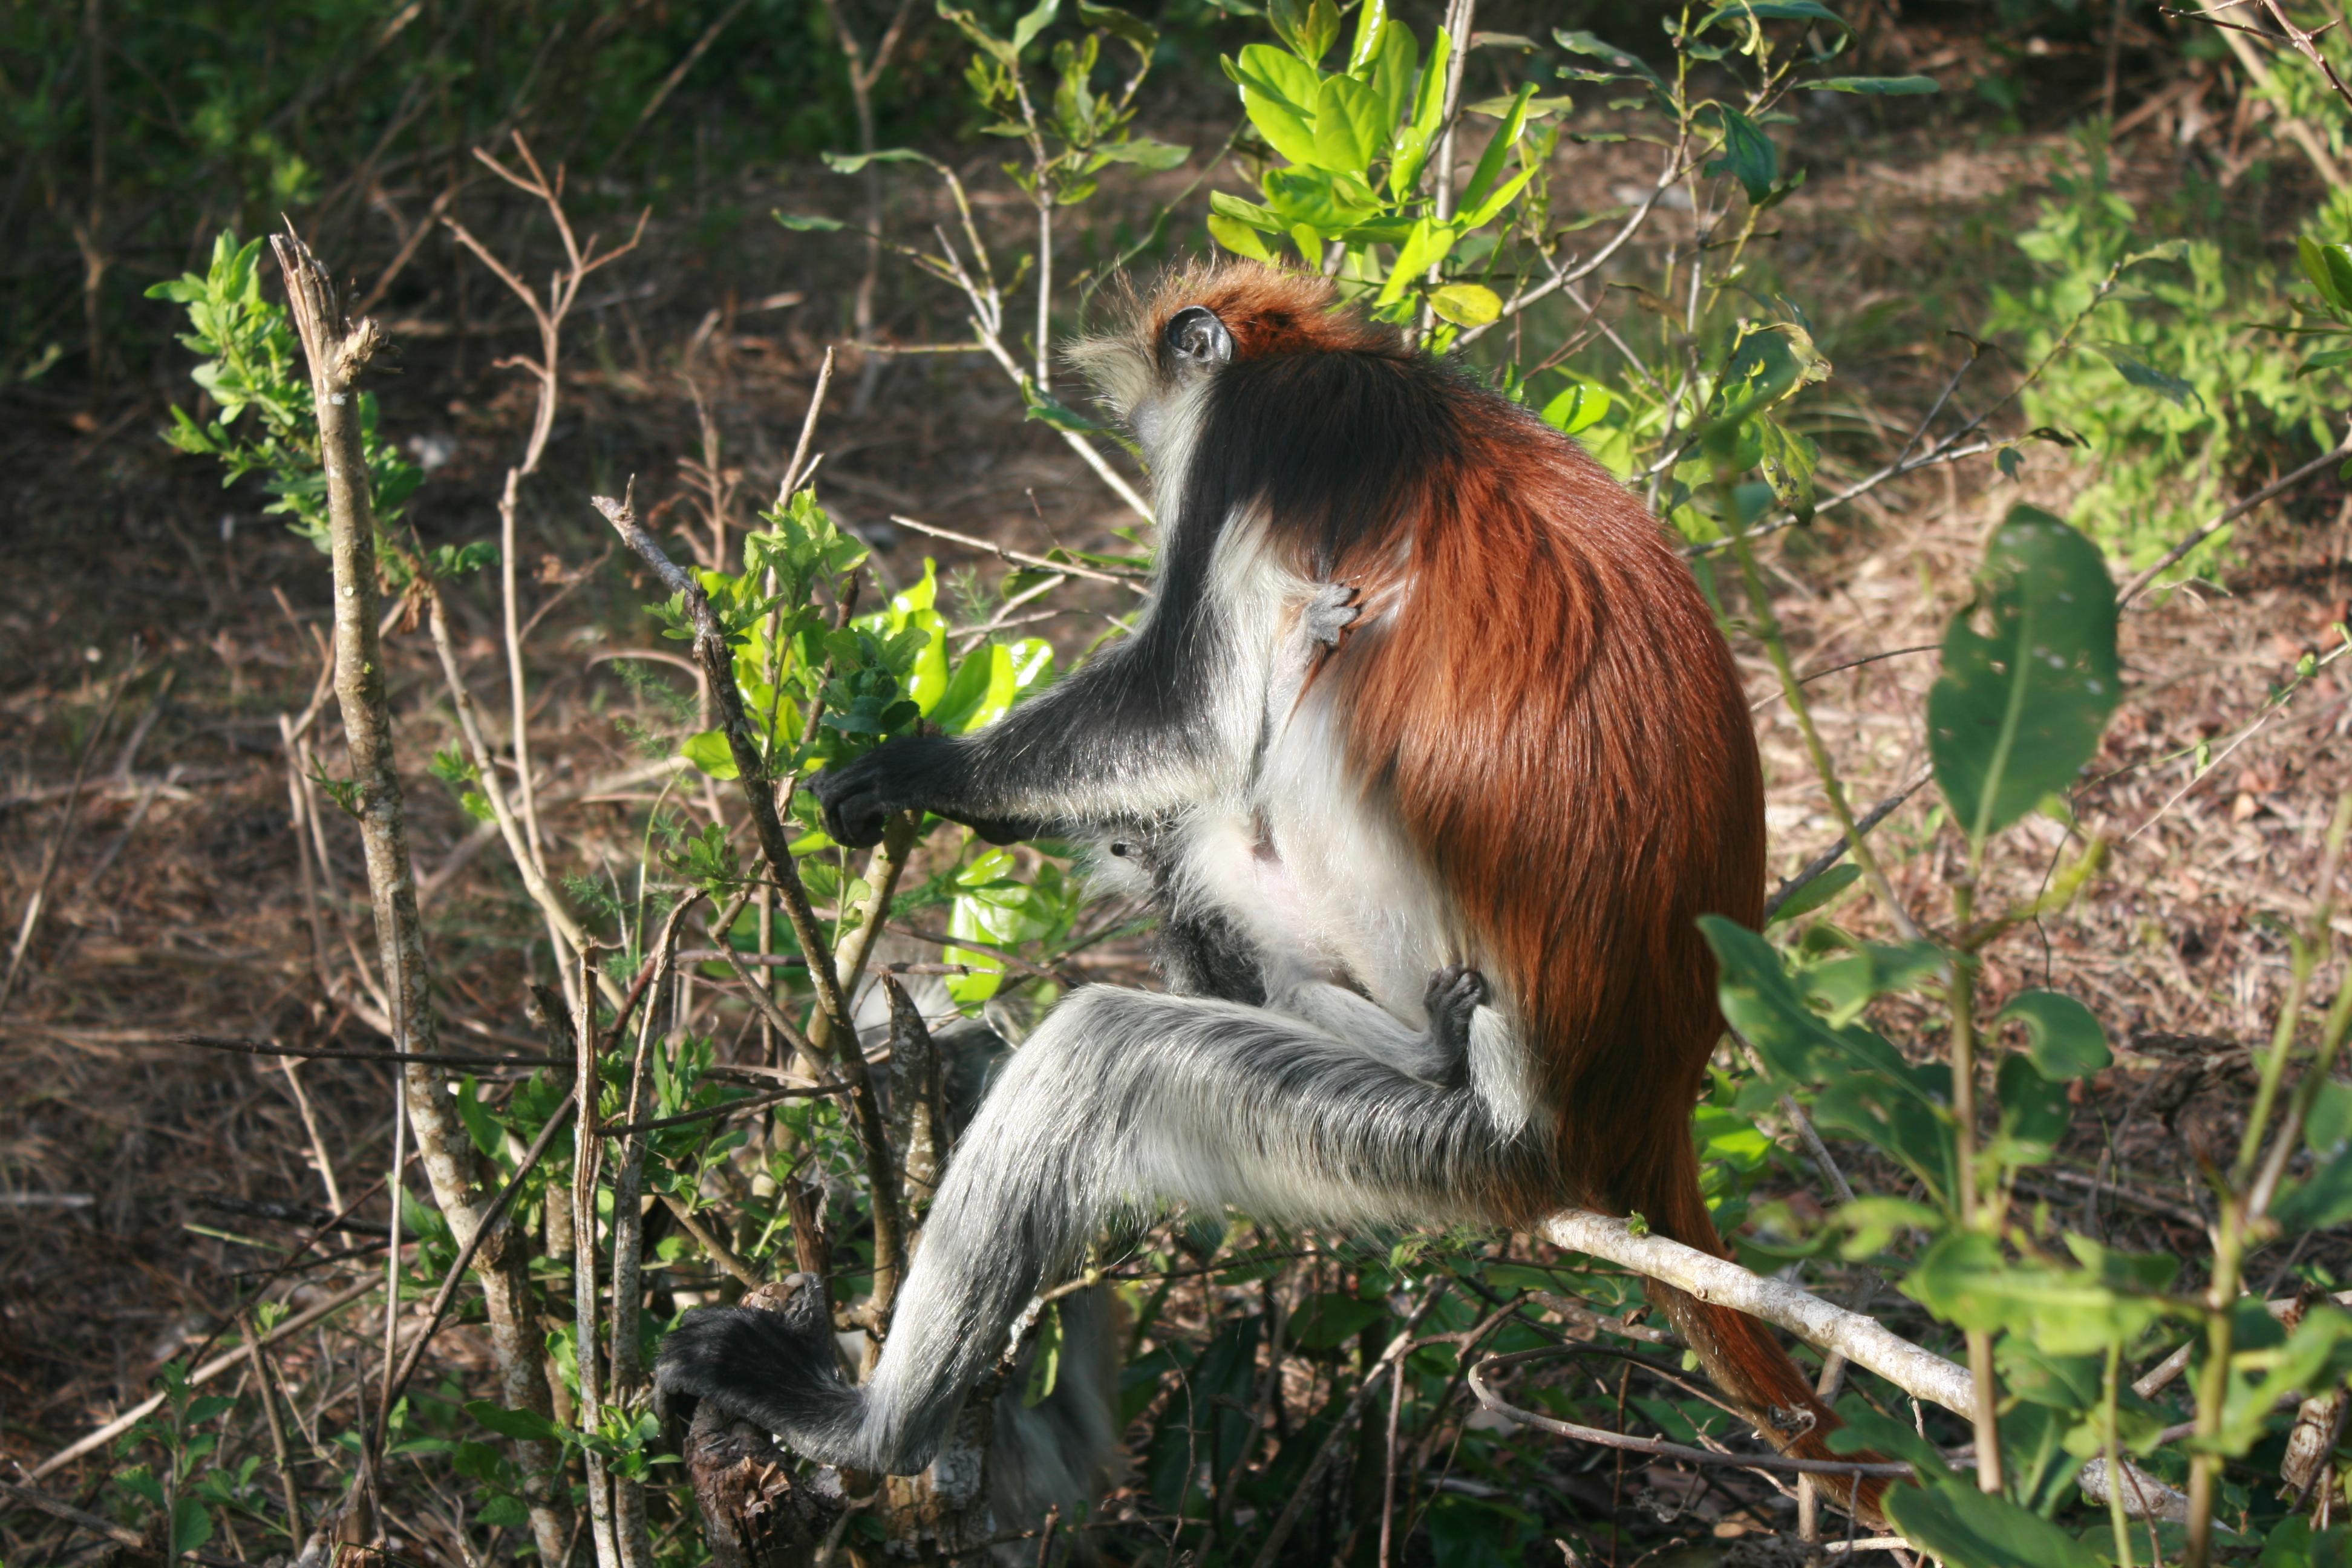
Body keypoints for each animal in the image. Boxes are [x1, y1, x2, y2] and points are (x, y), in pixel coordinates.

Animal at [653, 261, 1863, 1504]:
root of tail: (1635, 1120)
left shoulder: (1246, 440)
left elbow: (1182, 718)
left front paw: (920, 771)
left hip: (1446, 1143)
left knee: (1105, 1040)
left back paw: (867, 1428)